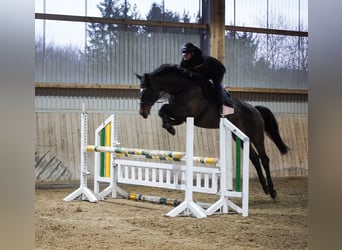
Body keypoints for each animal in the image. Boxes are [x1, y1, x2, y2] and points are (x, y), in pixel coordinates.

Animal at [136, 64, 288, 199]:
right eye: (140, 90)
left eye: (147, 90)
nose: (142, 112)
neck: (182, 88)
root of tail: (255, 109)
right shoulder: (182, 116)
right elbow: (164, 113)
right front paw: (169, 126)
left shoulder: (184, 112)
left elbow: (164, 109)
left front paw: (169, 127)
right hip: (238, 136)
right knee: (254, 159)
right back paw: (265, 188)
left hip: (256, 136)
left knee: (264, 159)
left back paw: (272, 191)